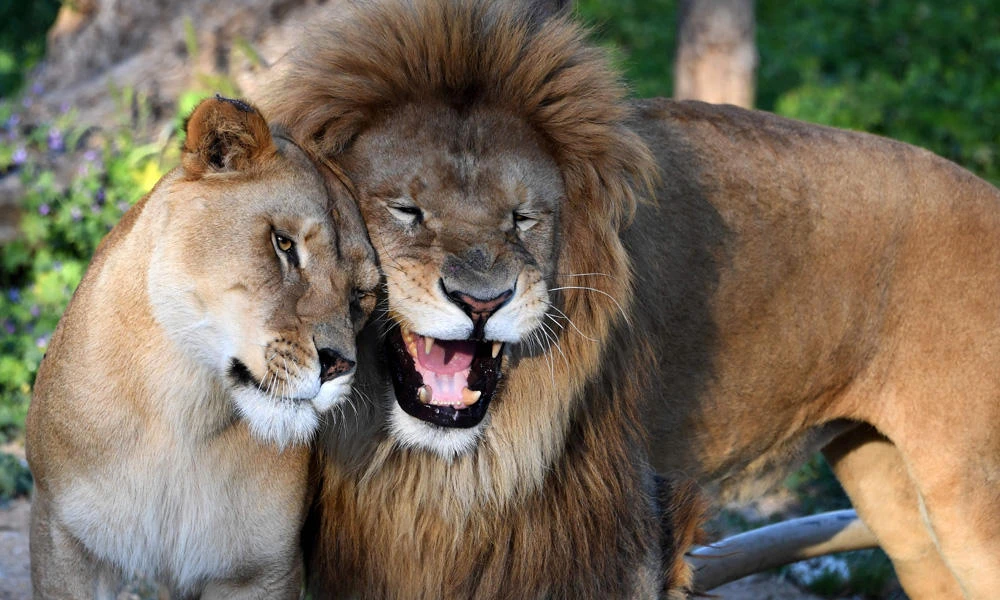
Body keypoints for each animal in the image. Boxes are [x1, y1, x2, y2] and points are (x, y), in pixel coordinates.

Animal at [25, 96, 379, 598]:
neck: (183, 413)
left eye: (360, 296)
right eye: (283, 243)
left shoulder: (262, 571)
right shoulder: (63, 535)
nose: (339, 365)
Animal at [268, 0, 1000, 597]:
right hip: (894, 493)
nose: (482, 302)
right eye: (407, 210)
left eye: (523, 220)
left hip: (968, 495)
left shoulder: (624, 535)